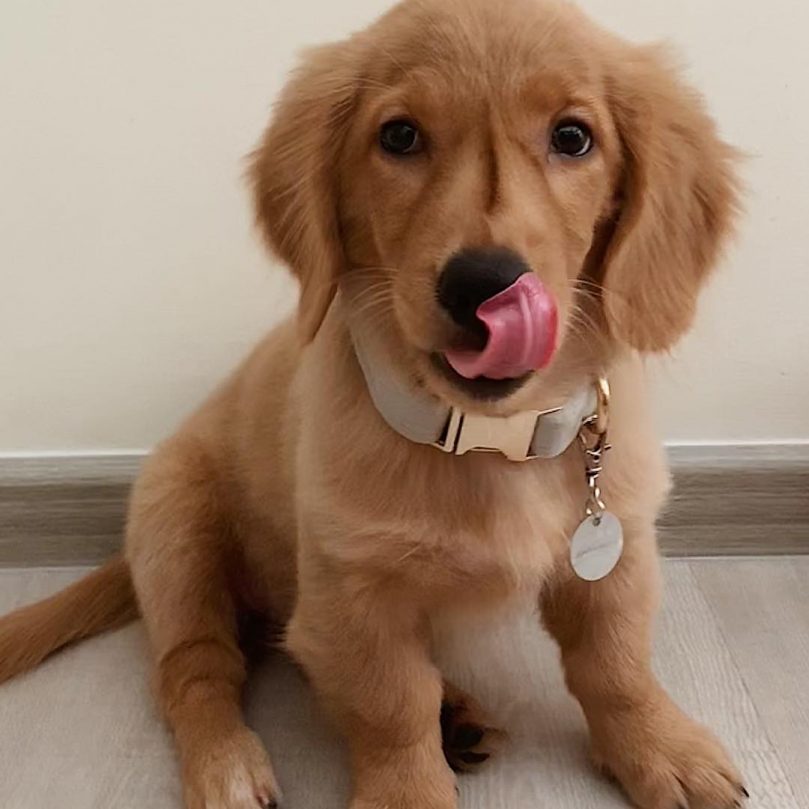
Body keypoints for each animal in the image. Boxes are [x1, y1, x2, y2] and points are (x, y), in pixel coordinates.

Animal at [0, 1, 744, 808]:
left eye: (573, 137)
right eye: (399, 136)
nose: (483, 284)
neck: (490, 439)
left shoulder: (618, 554)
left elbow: (617, 666)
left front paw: (660, 747)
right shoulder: (353, 591)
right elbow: (391, 703)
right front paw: (410, 786)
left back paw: (456, 713)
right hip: (178, 532)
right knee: (197, 667)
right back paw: (227, 761)